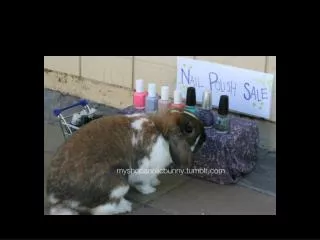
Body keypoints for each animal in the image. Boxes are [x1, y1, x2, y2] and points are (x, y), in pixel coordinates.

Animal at [46, 109, 206, 215]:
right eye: (190, 129)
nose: (205, 138)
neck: (161, 131)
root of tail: (57, 198)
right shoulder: (143, 170)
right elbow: (143, 183)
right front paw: (150, 190)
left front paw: (156, 182)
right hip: (119, 183)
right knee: (100, 209)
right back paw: (125, 206)